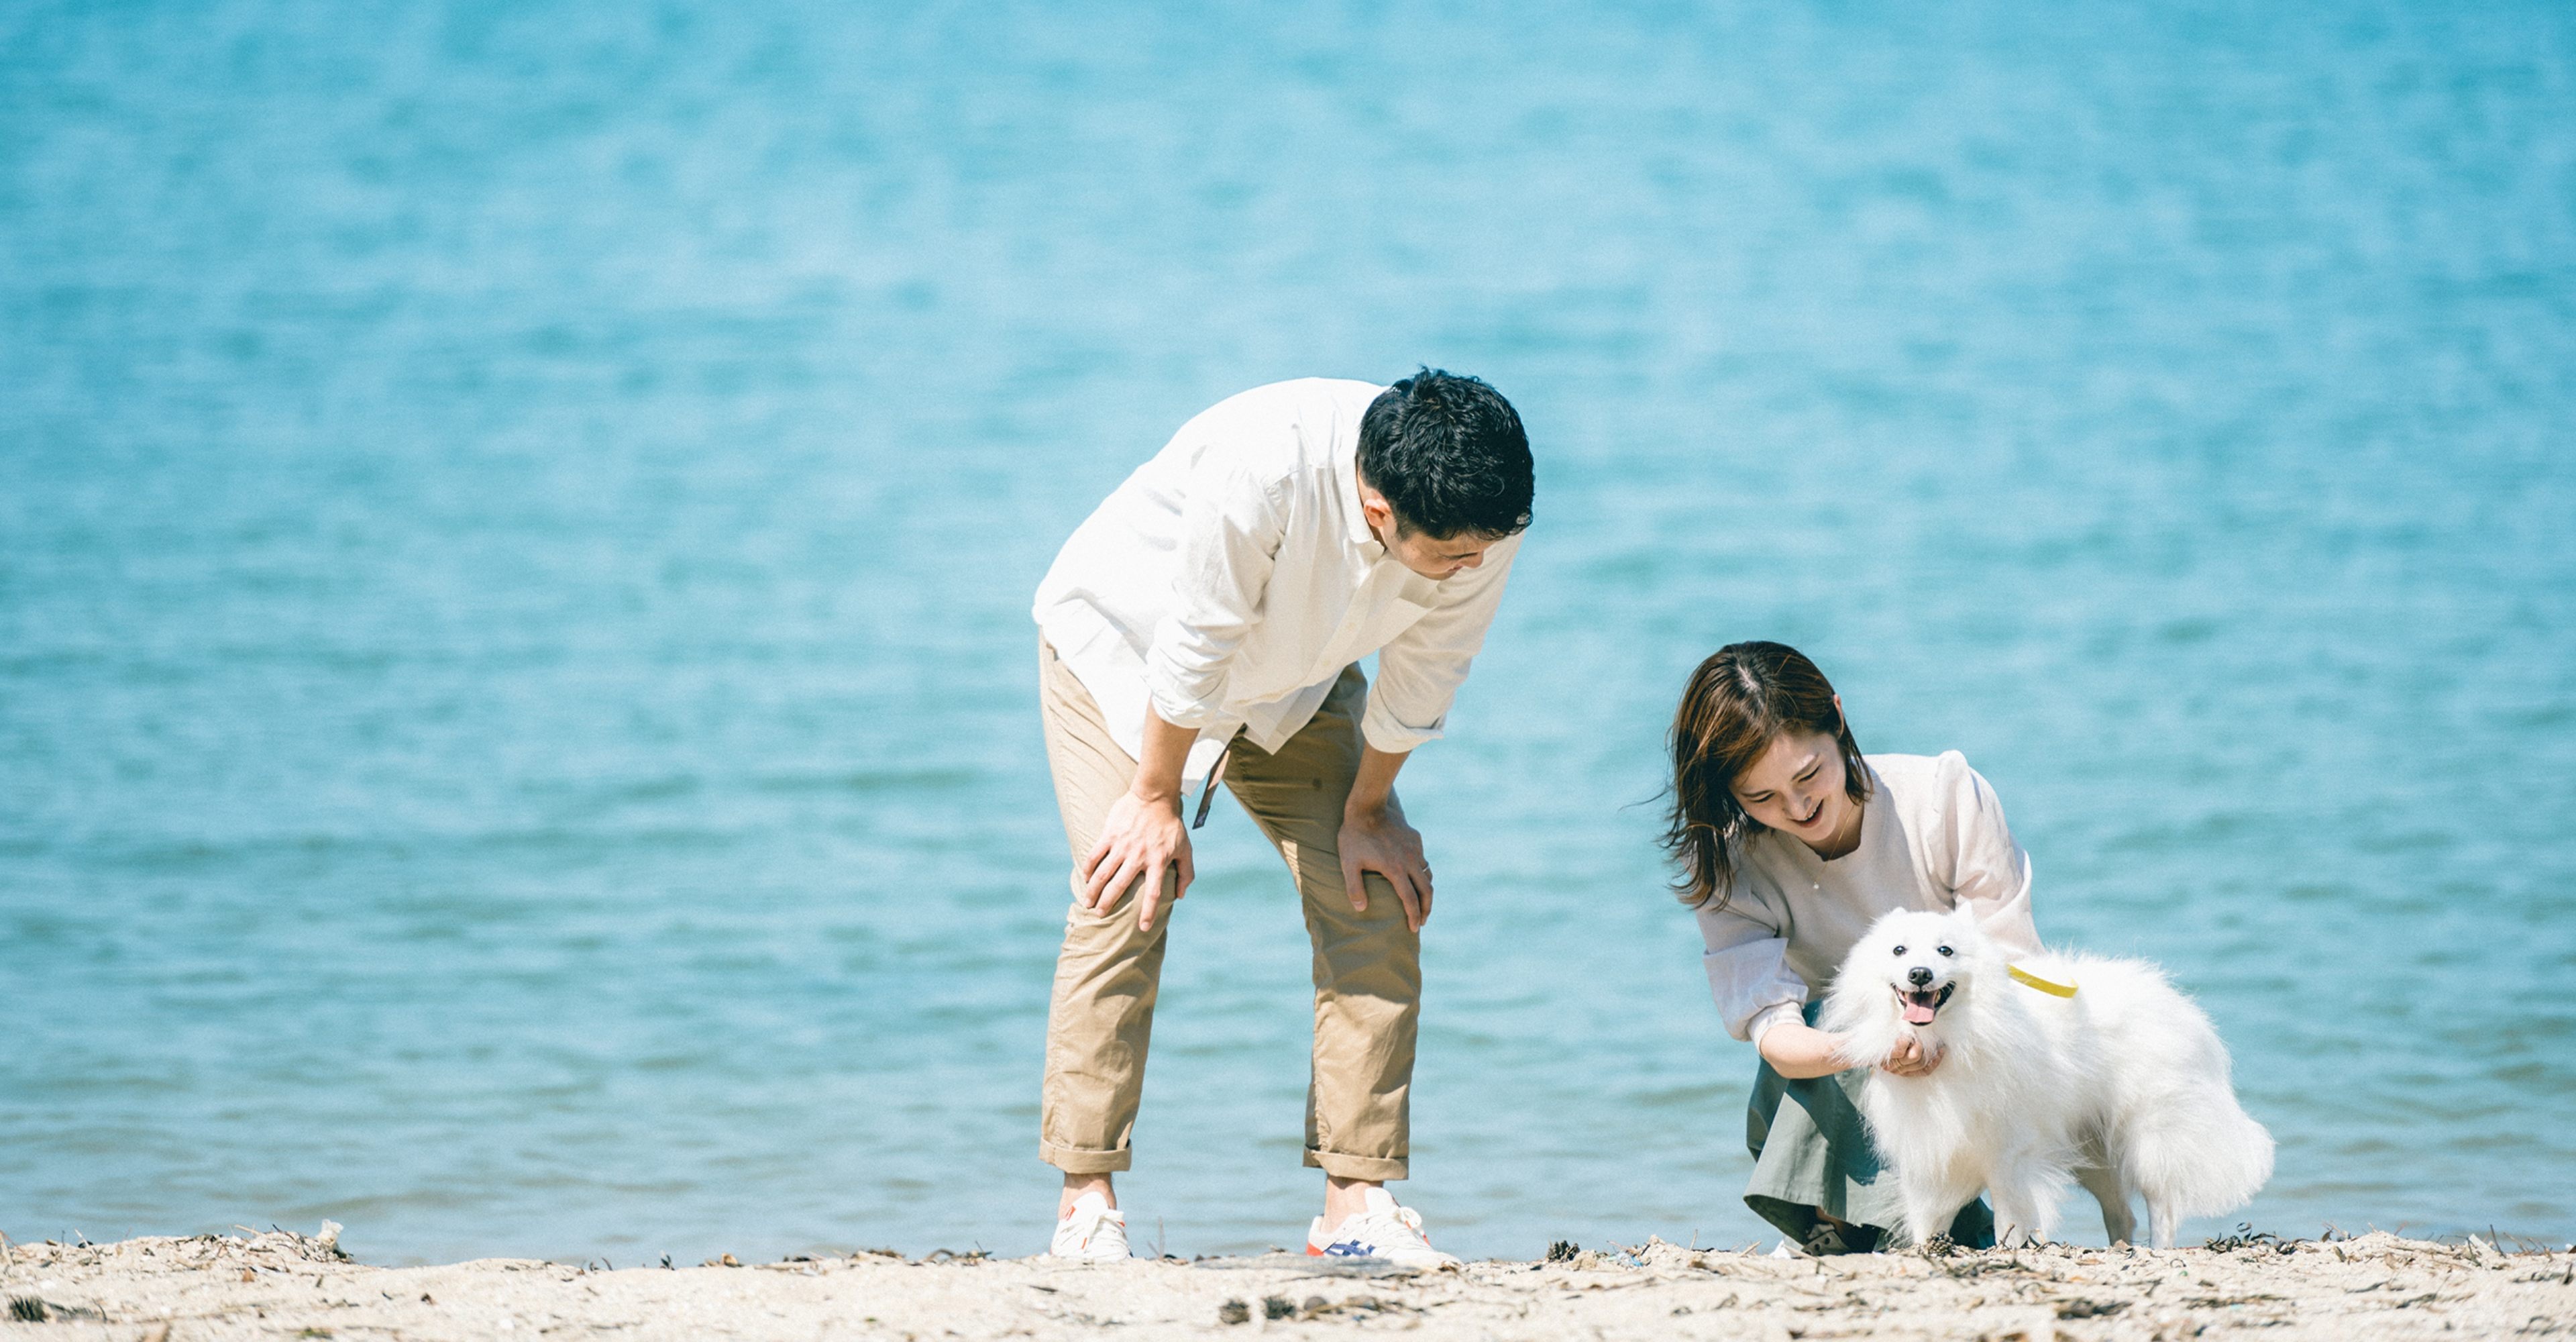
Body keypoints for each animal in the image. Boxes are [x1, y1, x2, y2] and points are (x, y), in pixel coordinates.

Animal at [1813, 907, 2277, 1251]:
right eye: (1899, 950)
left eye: (1946, 951)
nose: (1920, 973)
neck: (1953, 1038)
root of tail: (2175, 1000)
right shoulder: (1930, 1154)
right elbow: (1928, 1219)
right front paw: (1928, 1254)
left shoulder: (2009, 1157)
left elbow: (2010, 1218)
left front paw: (2009, 1253)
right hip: (2092, 1151)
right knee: (2121, 1212)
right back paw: (2120, 1249)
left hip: (2150, 1133)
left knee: (2160, 1201)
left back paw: (2158, 1249)